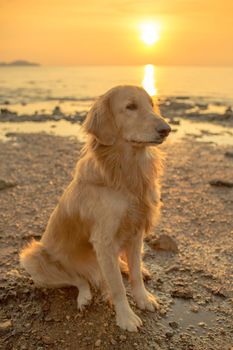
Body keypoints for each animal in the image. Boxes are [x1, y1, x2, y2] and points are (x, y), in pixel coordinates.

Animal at [19, 85, 170, 330]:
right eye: (130, 107)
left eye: (151, 105)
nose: (166, 129)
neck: (126, 171)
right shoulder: (104, 240)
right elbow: (117, 287)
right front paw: (126, 317)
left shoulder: (136, 231)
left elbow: (136, 275)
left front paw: (143, 298)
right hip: (33, 259)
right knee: (80, 279)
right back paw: (85, 296)